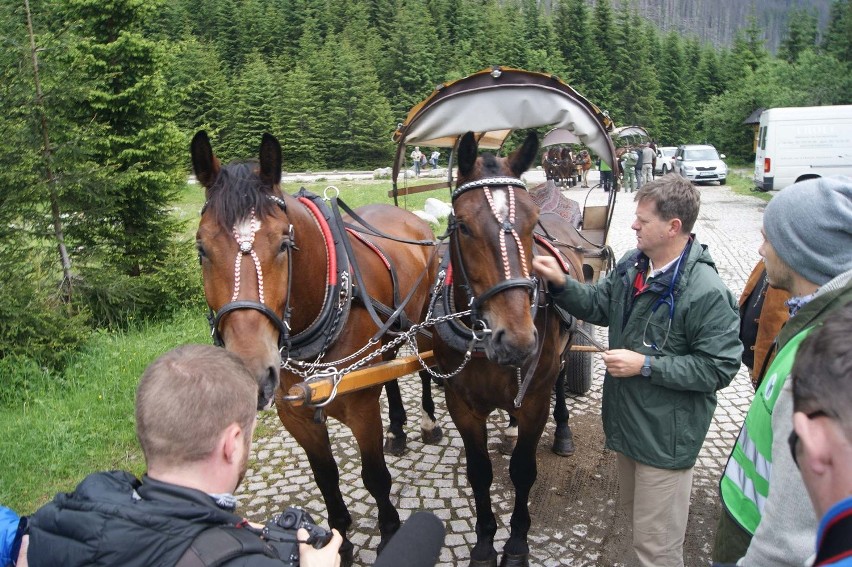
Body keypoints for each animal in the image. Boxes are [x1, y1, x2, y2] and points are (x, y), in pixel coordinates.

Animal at [192, 132, 440, 564]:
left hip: (422, 319)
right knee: (390, 369)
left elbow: (374, 477)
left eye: (283, 243)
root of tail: (405, 215)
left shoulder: (360, 409)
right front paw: (340, 543)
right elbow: (326, 478)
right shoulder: (297, 416)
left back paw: (427, 422)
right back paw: (397, 428)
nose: (252, 373)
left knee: (423, 366)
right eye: (202, 247)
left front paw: (390, 532)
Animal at [432, 131, 584, 564]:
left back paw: (562, 430)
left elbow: (522, 471)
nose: (516, 340)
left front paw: (516, 543)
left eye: (531, 224)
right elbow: (479, 472)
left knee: (561, 380)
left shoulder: (534, 400)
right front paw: (484, 541)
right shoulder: (461, 404)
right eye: (463, 226)